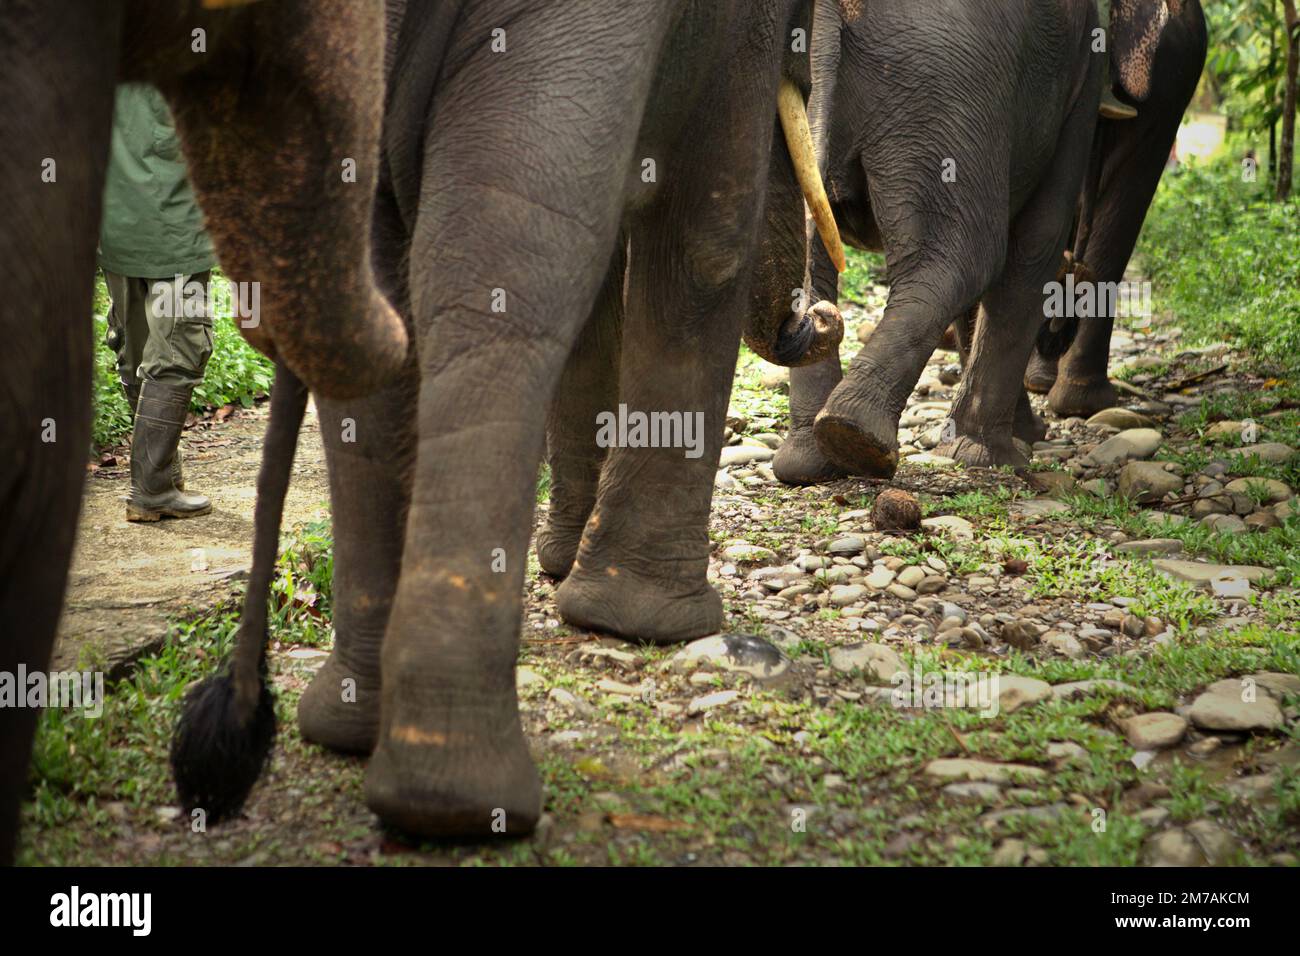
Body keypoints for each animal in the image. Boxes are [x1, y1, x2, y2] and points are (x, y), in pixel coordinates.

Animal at [172, 0, 847, 837]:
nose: (821, 316)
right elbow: (706, 239)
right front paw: (649, 624)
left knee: (384, 296)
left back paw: (359, 734)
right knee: (506, 267)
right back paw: (457, 796)